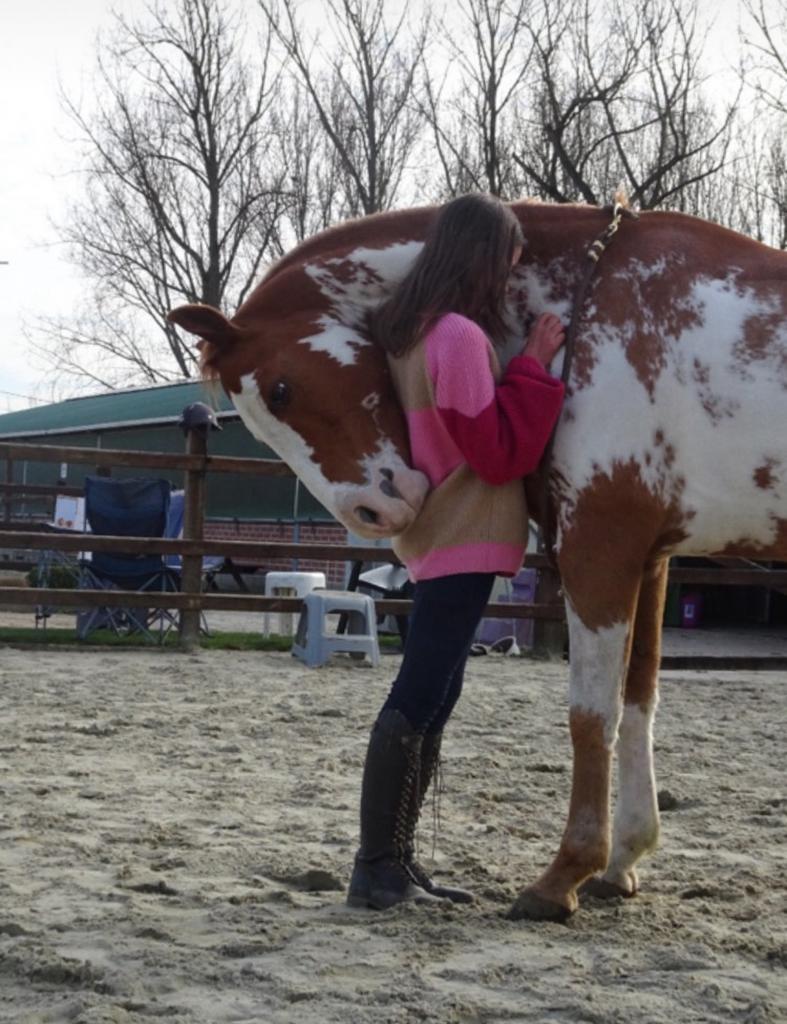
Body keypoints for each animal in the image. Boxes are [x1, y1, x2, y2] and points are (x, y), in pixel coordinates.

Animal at [169, 200, 787, 921]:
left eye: (282, 389)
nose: (370, 513)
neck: (592, 304)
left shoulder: (598, 547)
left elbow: (590, 717)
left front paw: (563, 875)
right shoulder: (650, 557)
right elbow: (638, 704)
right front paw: (621, 863)